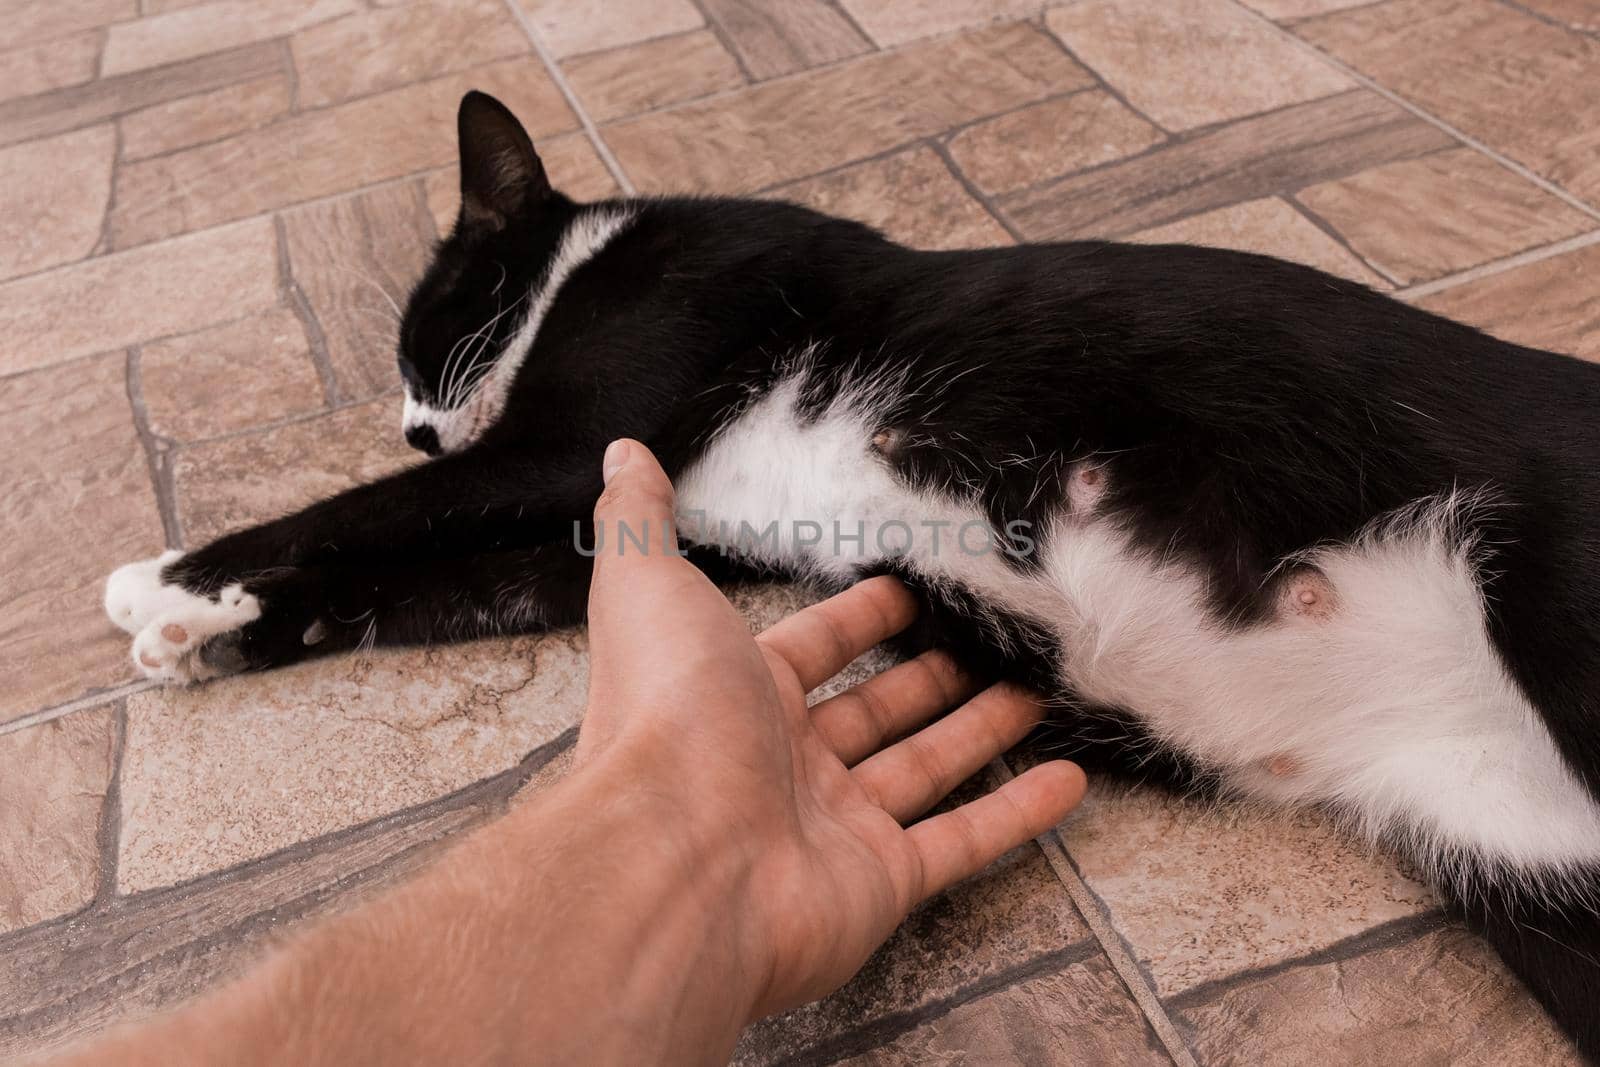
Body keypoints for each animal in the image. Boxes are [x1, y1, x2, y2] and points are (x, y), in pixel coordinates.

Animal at [106, 91, 1593, 1049]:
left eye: (427, 326)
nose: (414, 416)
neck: (598, 261)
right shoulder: (602, 533)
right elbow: (410, 580)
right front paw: (214, 629)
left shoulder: (576, 437)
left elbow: (380, 511)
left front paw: (164, 578)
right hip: (1534, 879)